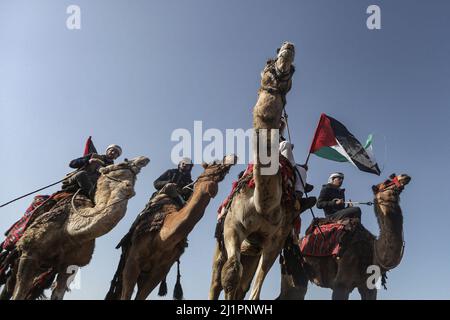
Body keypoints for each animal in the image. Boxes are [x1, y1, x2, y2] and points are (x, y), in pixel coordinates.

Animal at [1, 156, 149, 298]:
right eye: (121, 164)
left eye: (137, 173)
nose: (144, 159)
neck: (69, 230)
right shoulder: (29, 252)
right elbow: (20, 292)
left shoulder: (70, 265)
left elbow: (57, 294)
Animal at [105, 155, 236, 300]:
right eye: (214, 162)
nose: (231, 157)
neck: (163, 235)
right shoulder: (133, 260)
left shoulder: (160, 270)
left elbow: (141, 296)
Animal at [210, 42, 298, 300]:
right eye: (269, 61)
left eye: (294, 70)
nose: (288, 47)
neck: (263, 205)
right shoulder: (232, 227)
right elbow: (230, 274)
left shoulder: (274, 242)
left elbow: (253, 289)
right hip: (220, 244)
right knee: (217, 280)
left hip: (253, 252)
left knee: (244, 284)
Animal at [278, 172, 412, 300]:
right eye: (387, 182)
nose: (405, 176)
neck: (371, 250)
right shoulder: (341, 283)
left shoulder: (368, 287)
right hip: (292, 267)